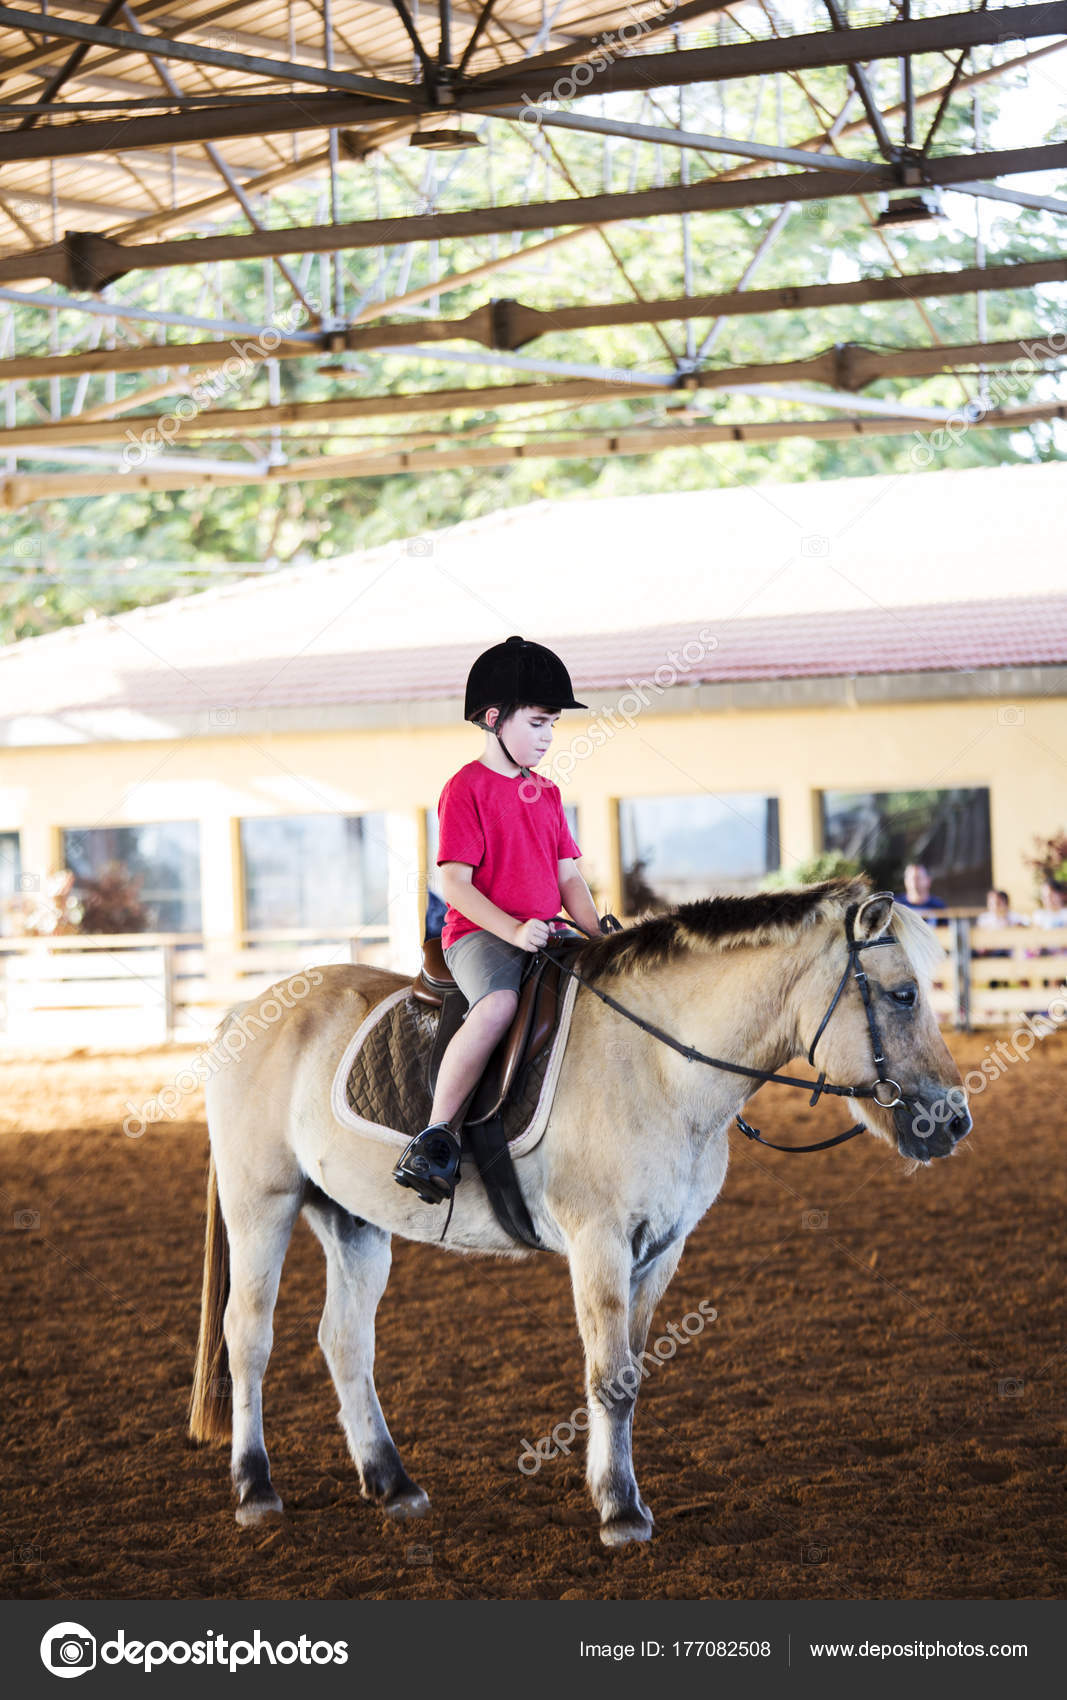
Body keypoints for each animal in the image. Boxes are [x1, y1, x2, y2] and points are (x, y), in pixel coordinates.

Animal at [188, 877, 971, 1548]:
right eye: (903, 995)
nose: (954, 1121)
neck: (659, 1064)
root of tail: (247, 1013)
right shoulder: (599, 1240)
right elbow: (609, 1377)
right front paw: (621, 1512)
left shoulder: (661, 1248)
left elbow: (631, 1374)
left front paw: (616, 1495)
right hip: (261, 1205)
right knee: (248, 1338)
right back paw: (255, 1490)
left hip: (352, 1221)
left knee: (345, 1342)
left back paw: (393, 1484)